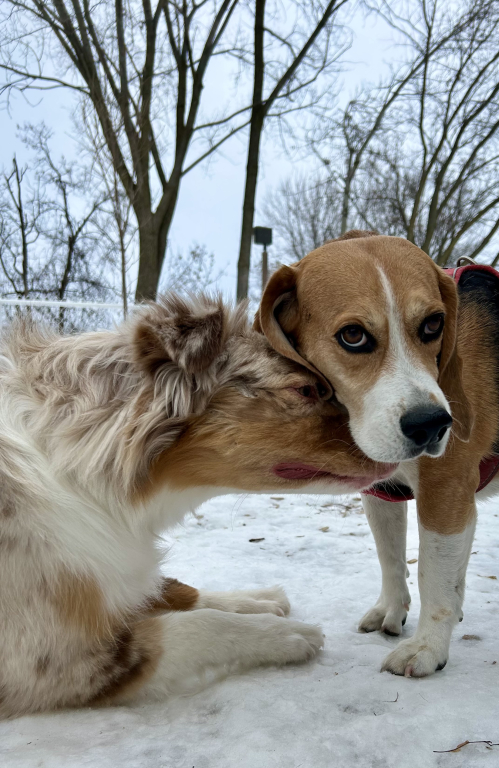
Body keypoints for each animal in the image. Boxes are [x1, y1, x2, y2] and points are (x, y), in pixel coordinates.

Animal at [0, 292, 398, 716]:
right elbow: (199, 624)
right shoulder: (59, 663)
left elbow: (176, 588)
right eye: (306, 390)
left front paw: (253, 600)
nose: (420, 430)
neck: (70, 469)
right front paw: (284, 632)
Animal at [256, 232, 498, 680]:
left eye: (434, 324)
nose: (432, 425)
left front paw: (427, 646)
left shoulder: (446, 489)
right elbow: (391, 555)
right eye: (353, 335)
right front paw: (392, 609)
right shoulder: (382, 491)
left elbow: (433, 571)